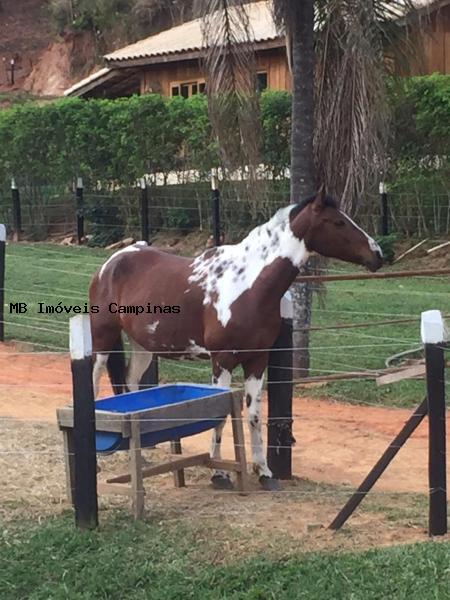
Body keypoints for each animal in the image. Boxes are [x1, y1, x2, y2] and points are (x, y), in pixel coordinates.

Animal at [90, 188, 384, 488]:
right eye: (337, 222)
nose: (379, 254)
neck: (249, 286)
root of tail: (111, 263)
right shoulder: (222, 361)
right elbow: (218, 417)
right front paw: (219, 474)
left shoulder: (257, 360)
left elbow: (254, 415)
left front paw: (265, 473)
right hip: (103, 338)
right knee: (94, 383)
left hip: (143, 346)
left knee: (130, 384)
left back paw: (140, 455)